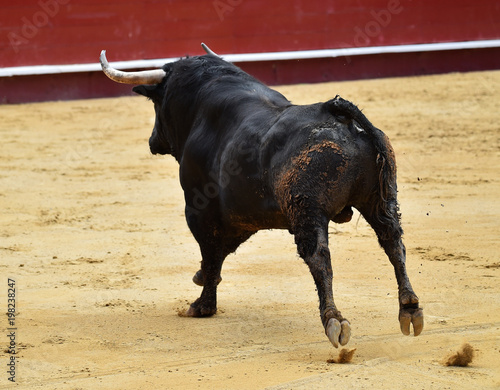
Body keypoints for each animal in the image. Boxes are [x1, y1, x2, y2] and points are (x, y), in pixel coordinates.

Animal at [100, 49, 422, 348]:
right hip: (381, 201)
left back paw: (334, 320)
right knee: (394, 243)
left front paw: (202, 305)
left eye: (158, 103)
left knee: (319, 257)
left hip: (307, 210)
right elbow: (220, 252)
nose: (153, 141)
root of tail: (337, 114)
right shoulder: (243, 215)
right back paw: (409, 309)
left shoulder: (199, 210)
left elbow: (212, 252)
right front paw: (200, 278)